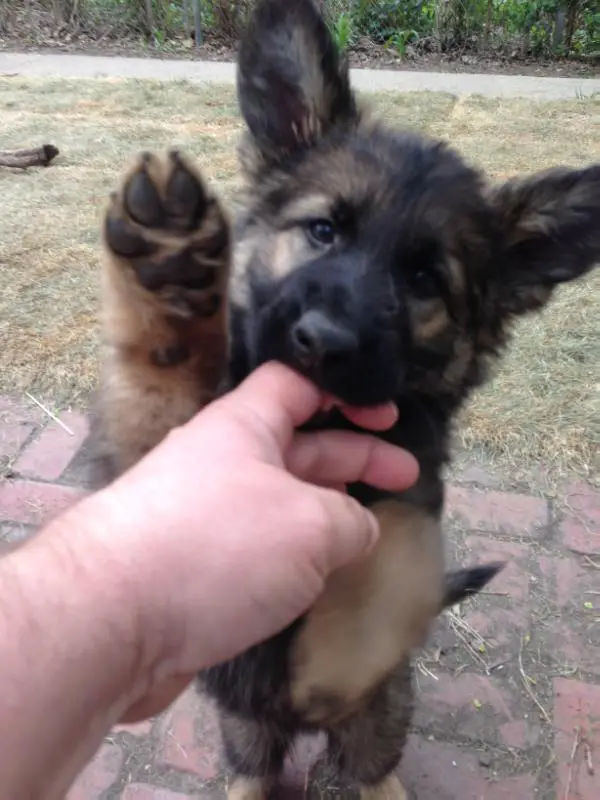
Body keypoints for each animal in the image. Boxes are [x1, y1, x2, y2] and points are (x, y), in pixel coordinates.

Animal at [88, 0, 600, 796]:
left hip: (387, 709)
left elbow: (388, 562)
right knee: (251, 770)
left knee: (373, 766)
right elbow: (158, 401)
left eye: (424, 279)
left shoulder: (413, 487)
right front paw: (167, 263)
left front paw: (336, 648)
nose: (322, 342)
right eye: (323, 231)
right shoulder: (153, 457)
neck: (323, 419)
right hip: (242, 728)